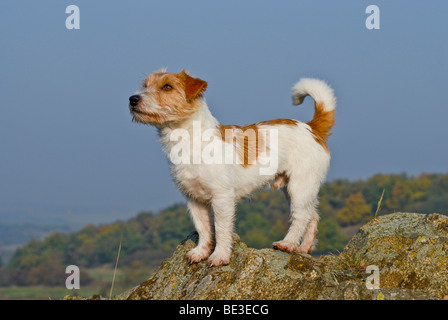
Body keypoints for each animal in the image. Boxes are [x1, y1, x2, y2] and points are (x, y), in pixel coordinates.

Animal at [128, 69, 334, 266]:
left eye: (167, 87)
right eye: (145, 85)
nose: (132, 99)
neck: (190, 140)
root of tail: (312, 128)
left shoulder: (222, 198)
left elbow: (220, 229)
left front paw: (220, 256)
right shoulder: (194, 199)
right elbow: (203, 228)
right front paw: (201, 251)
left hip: (300, 186)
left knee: (301, 217)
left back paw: (288, 244)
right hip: (295, 190)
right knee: (312, 216)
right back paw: (304, 248)